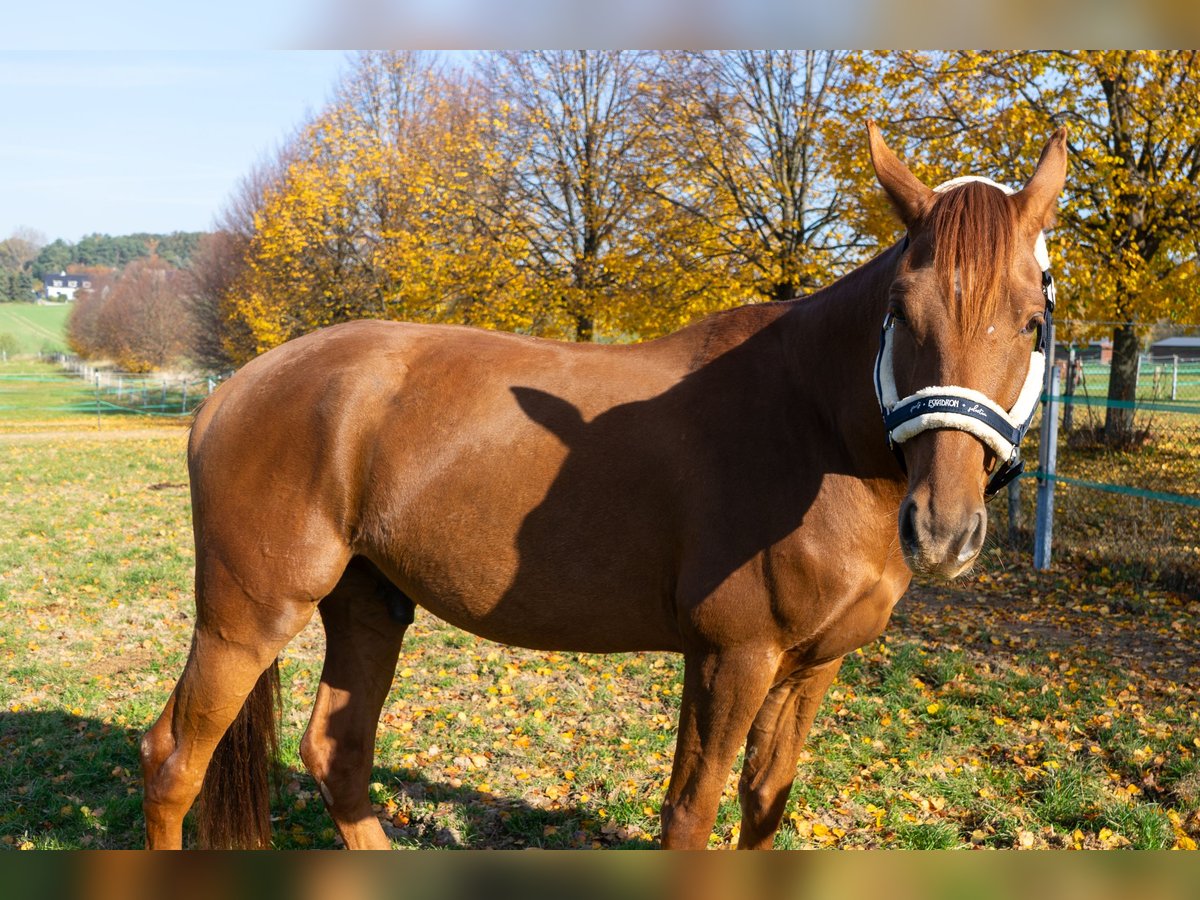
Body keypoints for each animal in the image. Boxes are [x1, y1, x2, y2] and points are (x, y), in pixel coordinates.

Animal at [140, 123, 1070, 849]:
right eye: (903, 312)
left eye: (1031, 322)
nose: (943, 529)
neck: (811, 431)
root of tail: (231, 390)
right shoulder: (731, 658)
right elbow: (690, 812)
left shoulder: (812, 667)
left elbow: (764, 803)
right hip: (245, 619)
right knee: (173, 761)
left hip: (367, 603)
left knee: (336, 753)